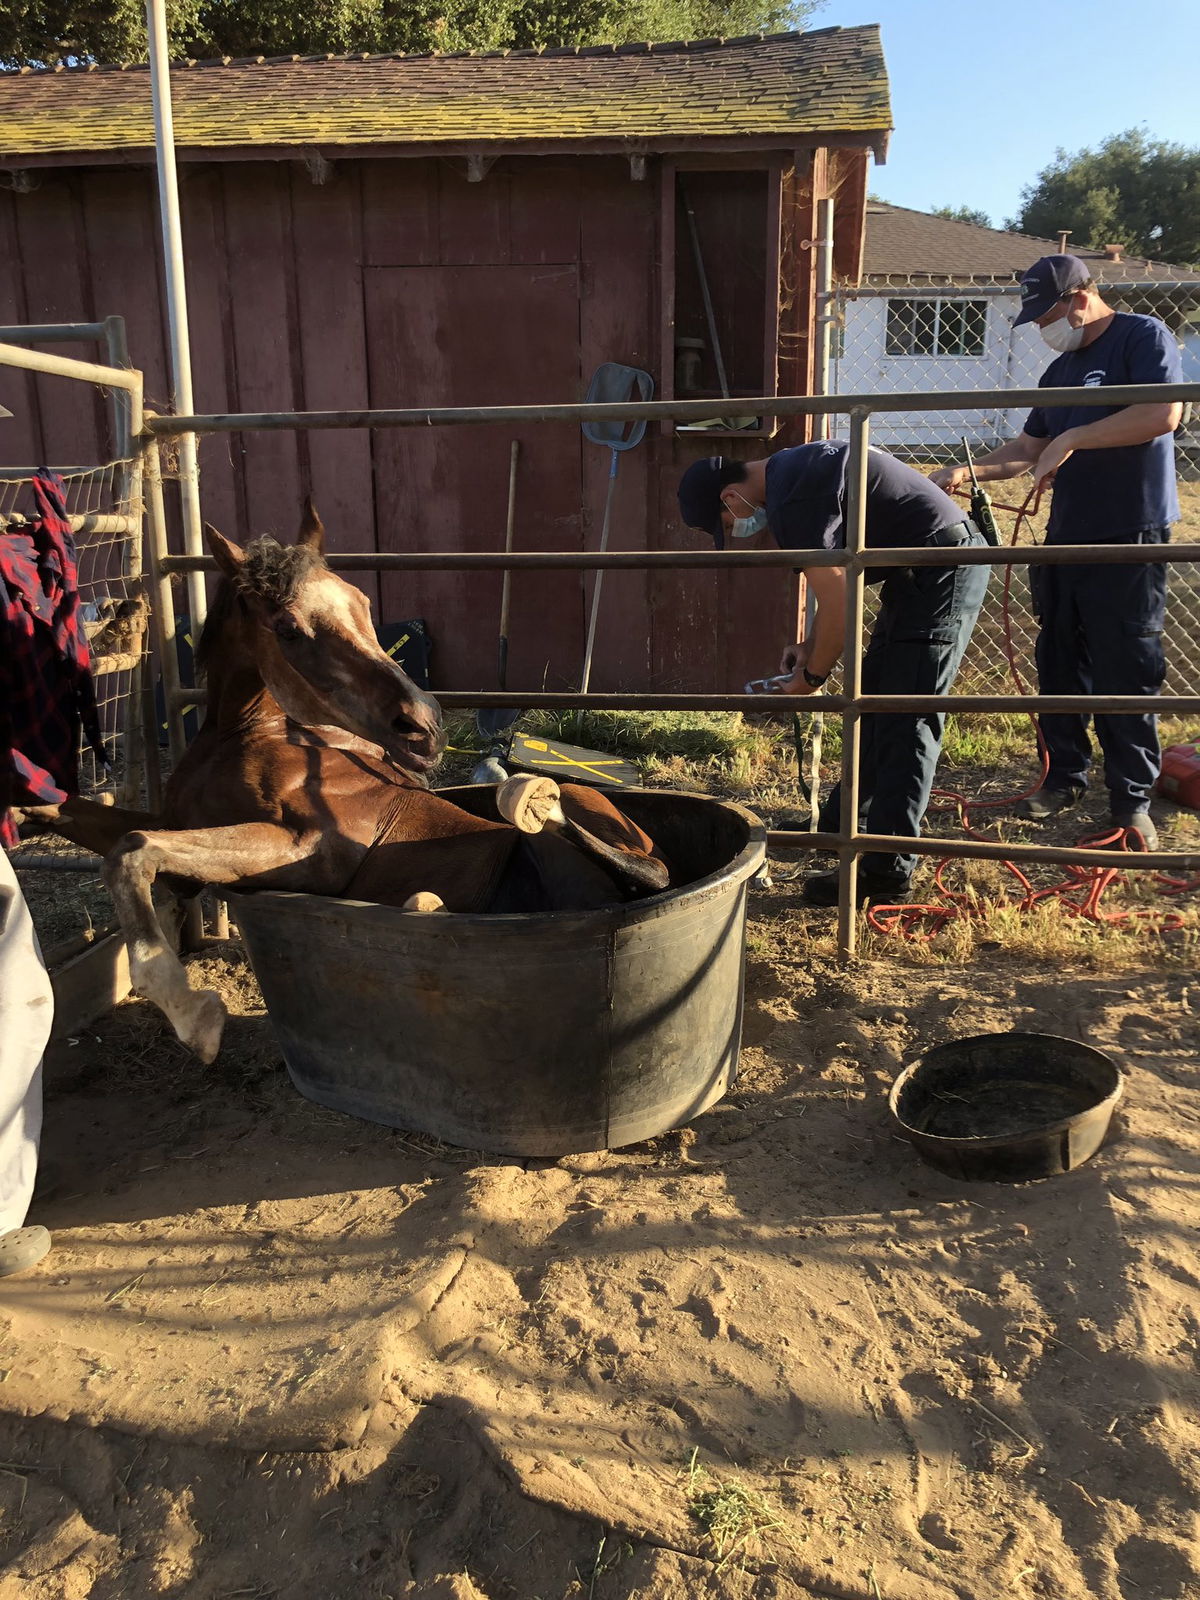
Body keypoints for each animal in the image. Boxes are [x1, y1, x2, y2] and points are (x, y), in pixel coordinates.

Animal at [40, 505, 678, 1062]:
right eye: (288, 627)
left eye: (363, 603)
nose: (424, 727)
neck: (251, 733)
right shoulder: (179, 826)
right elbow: (88, 824)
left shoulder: (306, 851)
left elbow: (132, 852)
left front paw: (195, 1019)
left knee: (614, 855)